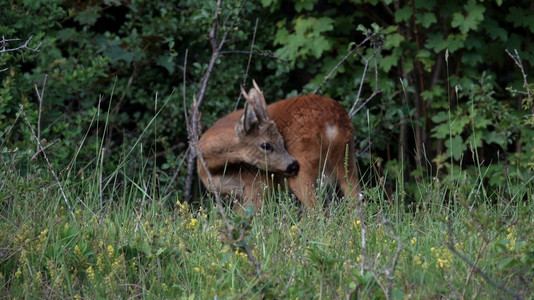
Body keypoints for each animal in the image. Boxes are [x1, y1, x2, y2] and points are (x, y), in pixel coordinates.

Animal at [199, 81, 362, 210]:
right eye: (266, 145)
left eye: (282, 141)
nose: (293, 166)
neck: (211, 168)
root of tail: (331, 121)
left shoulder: (256, 185)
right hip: (347, 159)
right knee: (356, 202)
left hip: (304, 165)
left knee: (317, 210)